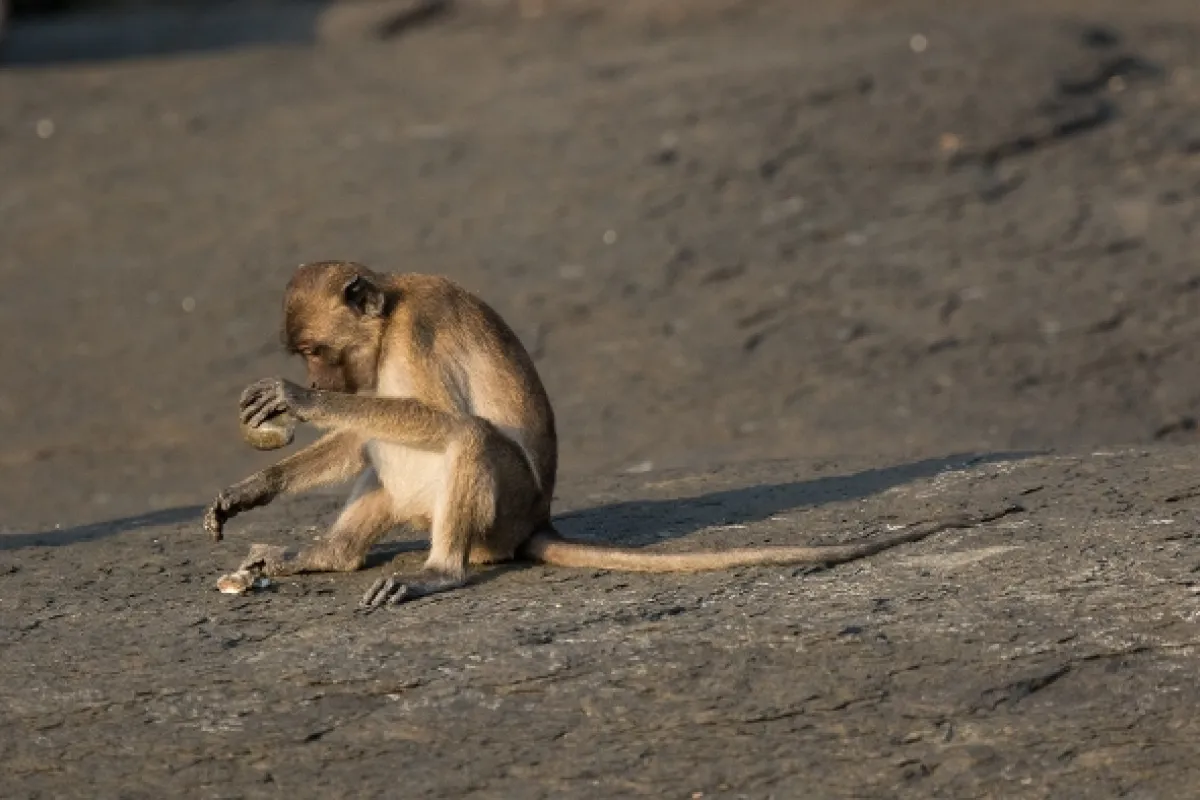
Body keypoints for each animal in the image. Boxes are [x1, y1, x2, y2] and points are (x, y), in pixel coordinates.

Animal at [204, 261, 1023, 607]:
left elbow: (447, 419)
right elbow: (363, 433)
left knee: (471, 439)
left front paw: (295, 402)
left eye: (314, 352)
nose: (324, 380)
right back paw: (330, 557)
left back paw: (441, 571)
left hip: (500, 509)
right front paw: (251, 487)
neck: (392, 309)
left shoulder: (419, 334)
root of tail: (535, 522)